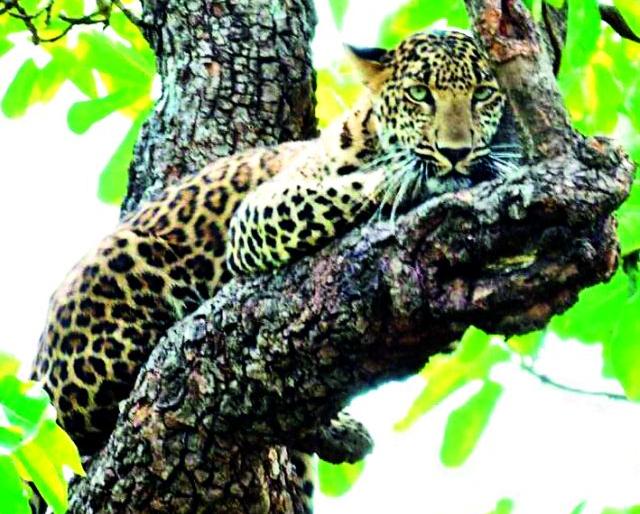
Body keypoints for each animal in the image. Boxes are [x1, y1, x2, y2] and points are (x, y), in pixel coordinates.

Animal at [31, 29, 513, 512]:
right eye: (420, 95)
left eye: (483, 95)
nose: (455, 153)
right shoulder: (257, 215)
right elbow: (346, 192)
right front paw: (414, 179)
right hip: (121, 266)